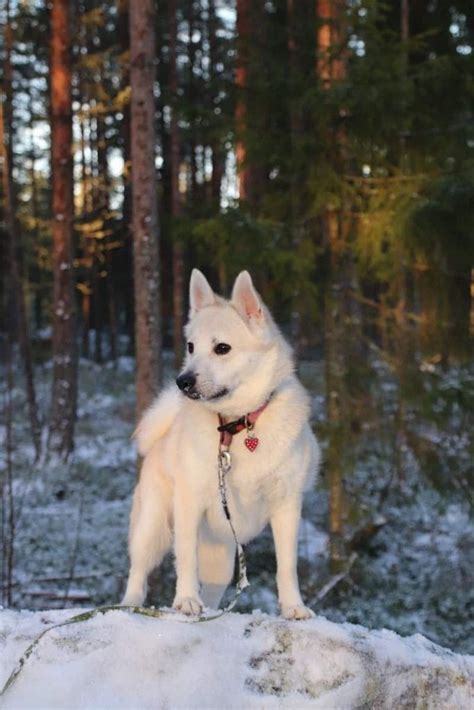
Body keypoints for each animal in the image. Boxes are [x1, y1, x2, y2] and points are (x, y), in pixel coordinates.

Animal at [122, 270, 320, 620]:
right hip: (153, 526)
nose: (182, 381)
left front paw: (294, 607)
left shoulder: (287, 507)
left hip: (224, 557)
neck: (238, 426)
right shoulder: (188, 503)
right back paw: (129, 605)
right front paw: (185, 600)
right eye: (191, 346)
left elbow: (287, 566)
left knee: (213, 591)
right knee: (138, 573)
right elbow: (185, 558)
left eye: (222, 348)